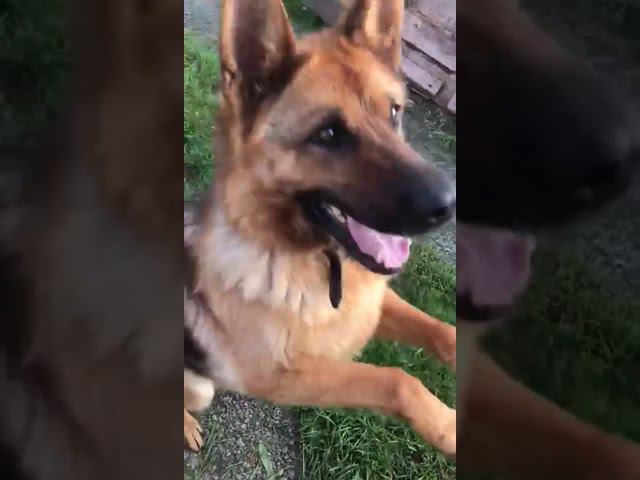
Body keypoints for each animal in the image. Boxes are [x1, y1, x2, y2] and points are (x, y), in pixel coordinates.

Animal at [183, 0, 458, 458]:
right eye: (328, 134)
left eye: (394, 113)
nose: (449, 204)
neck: (317, 262)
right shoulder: (285, 378)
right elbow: (395, 380)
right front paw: (448, 425)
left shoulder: (375, 304)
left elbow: (440, 330)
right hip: (200, 388)